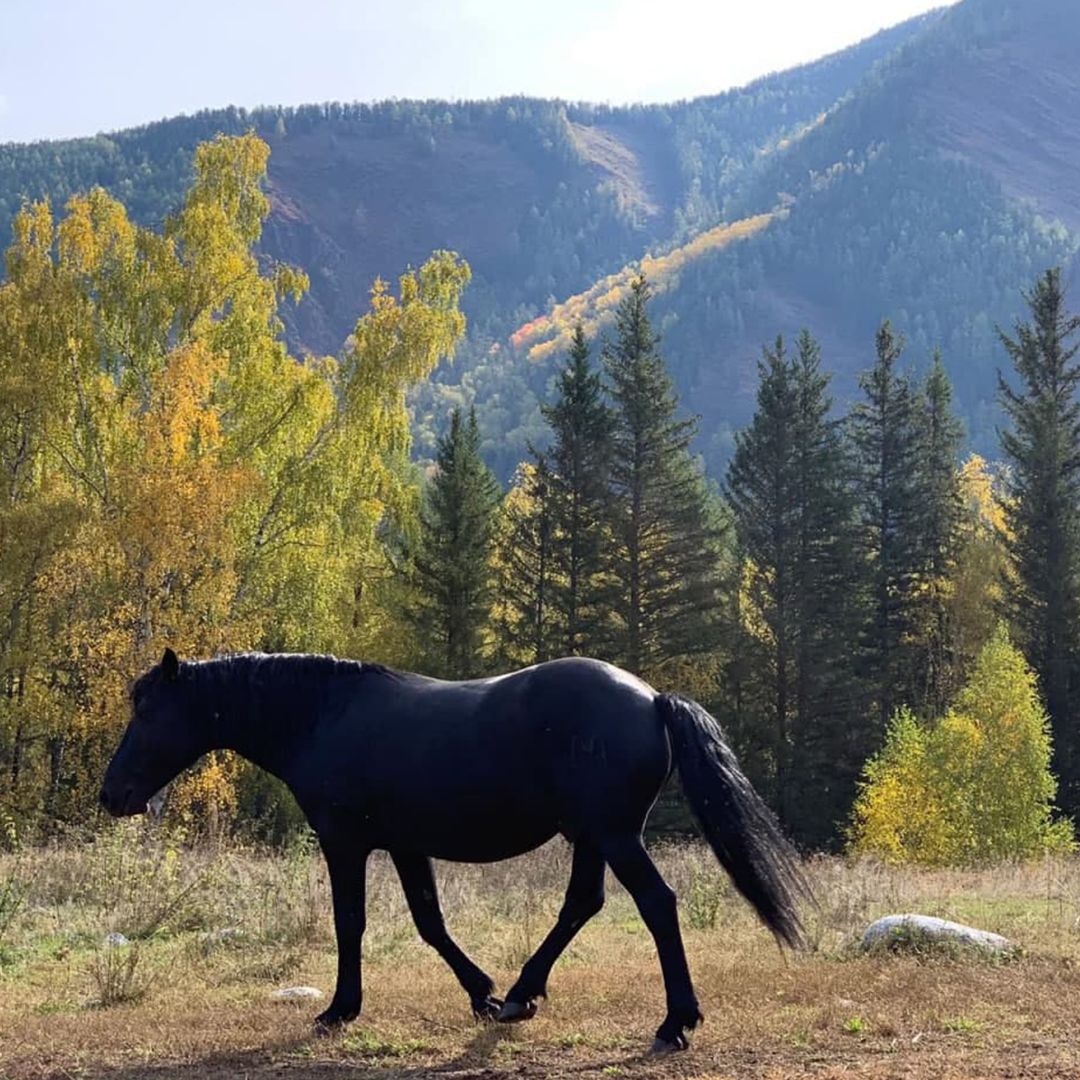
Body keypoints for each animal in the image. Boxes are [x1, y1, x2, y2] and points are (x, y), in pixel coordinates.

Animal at [101, 648, 812, 1045]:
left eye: (147, 711)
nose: (113, 794)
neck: (323, 717)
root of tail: (652, 699)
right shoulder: (405, 845)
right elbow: (430, 923)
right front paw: (484, 995)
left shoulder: (345, 842)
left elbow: (351, 922)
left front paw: (339, 1010)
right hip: (591, 837)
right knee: (581, 904)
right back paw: (523, 994)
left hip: (614, 836)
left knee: (657, 905)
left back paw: (675, 1022)